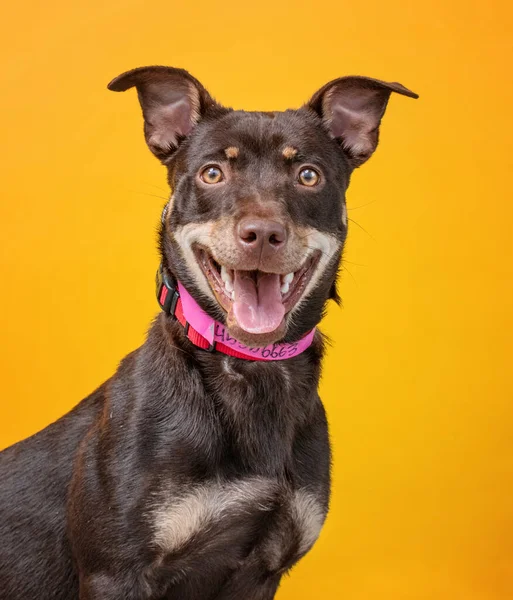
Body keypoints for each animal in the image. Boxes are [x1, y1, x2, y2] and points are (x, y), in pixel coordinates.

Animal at [0, 67, 416, 600]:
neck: (251, 372)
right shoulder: (115, 571)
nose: (262, 234)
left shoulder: (261, 571)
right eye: (212, 173)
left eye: (308, 175)